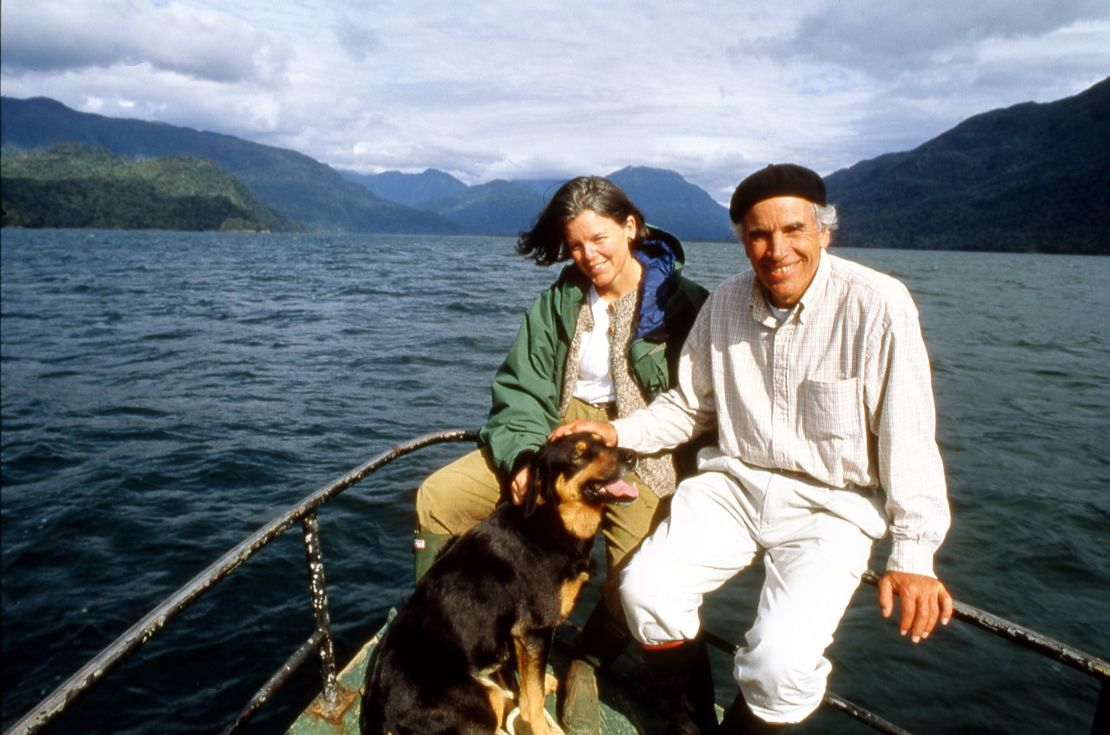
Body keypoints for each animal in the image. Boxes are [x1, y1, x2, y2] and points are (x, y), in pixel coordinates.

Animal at [361, 435, 639, 732]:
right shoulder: (535, 630)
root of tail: (379, 711)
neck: (548, 521)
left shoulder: (519, 635)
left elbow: (529, 684)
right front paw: (540, 726)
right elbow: (532, 701)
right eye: (579, 456)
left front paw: (540, 684)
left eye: (605, 442)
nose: (632, 456)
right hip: (482, 706)